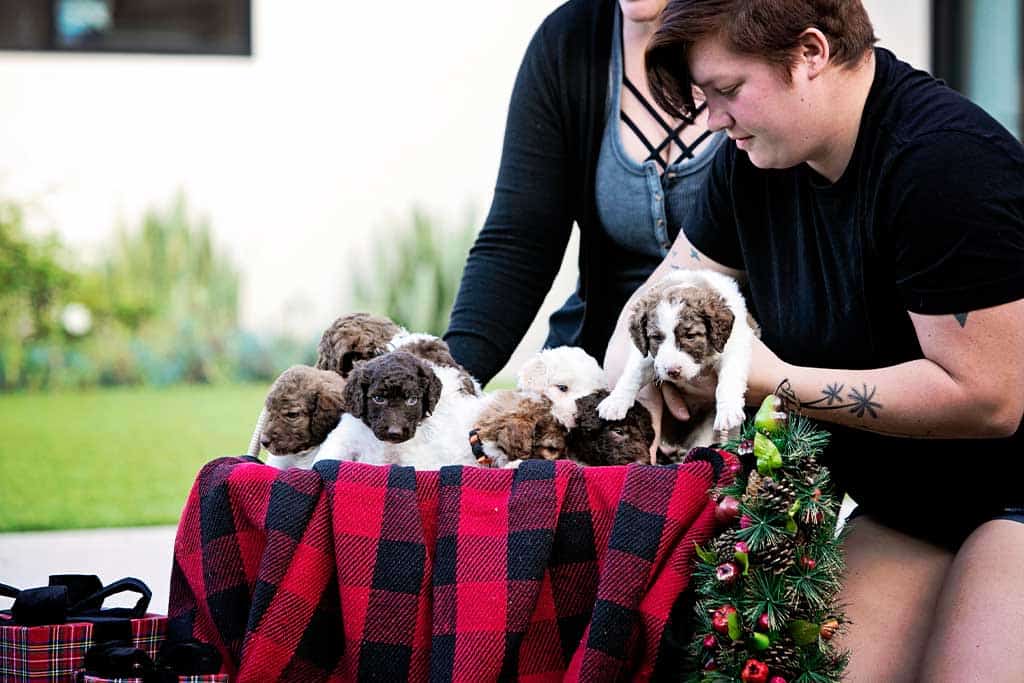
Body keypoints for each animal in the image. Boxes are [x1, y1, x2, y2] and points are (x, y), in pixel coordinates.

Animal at [598, 270, 757, 446]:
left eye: (690, 336)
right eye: (656, 337)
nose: (672, 371)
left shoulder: (735, 344)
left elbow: (730, 376)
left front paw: (728, 410)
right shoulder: (648, 357)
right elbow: (633, 374)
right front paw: (615, 402)